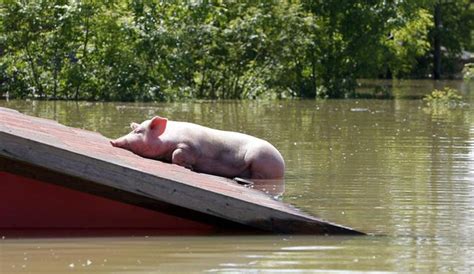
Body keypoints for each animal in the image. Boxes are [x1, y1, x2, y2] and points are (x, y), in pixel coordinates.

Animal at [109, 116, 284, 194]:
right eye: (133, 130)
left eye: (138, 131)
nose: (112, 141)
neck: (166, 140)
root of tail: (282, 164)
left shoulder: (188, 147)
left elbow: (177, 154)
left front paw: (190, 167)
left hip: (261, 162)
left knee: (257, 177)